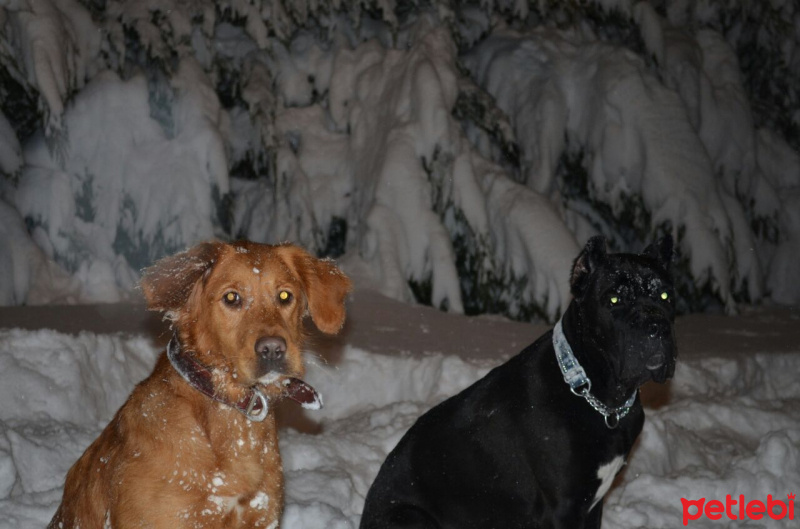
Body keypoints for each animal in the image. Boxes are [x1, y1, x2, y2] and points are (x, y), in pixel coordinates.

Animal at [360, 236, 676, 528]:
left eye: (664, 296)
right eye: (614, 299)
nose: (656, 327)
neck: (599, 394)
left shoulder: (592, 506)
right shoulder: (565, 508)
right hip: (411, 517)